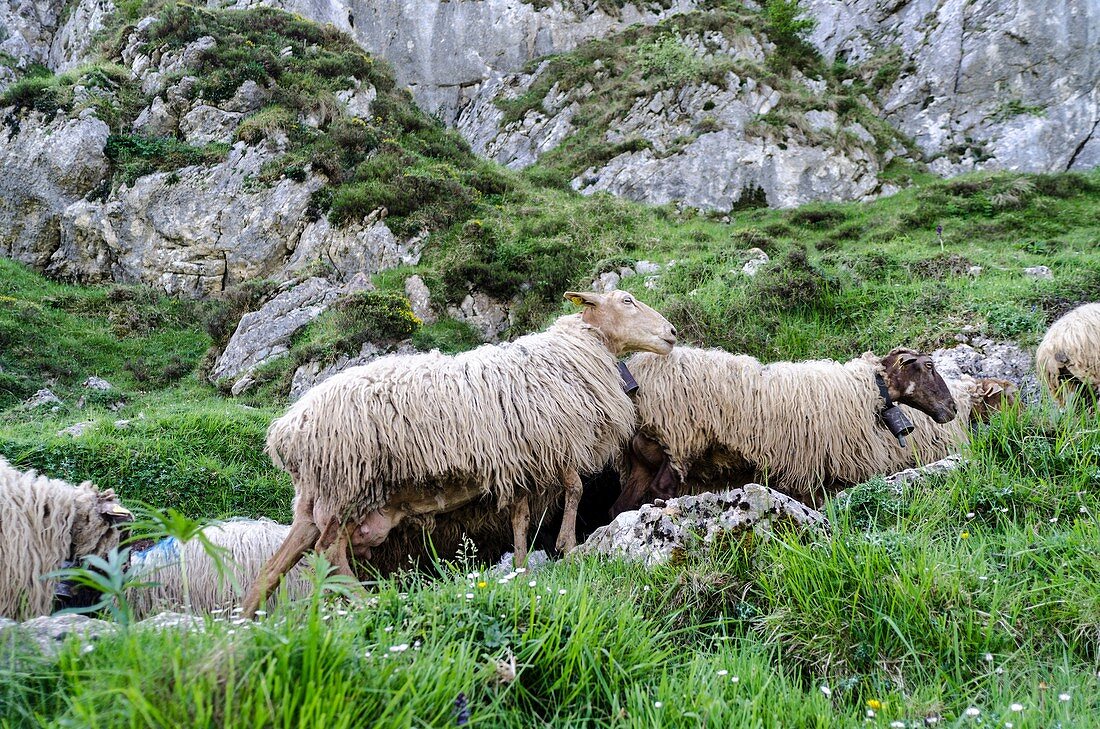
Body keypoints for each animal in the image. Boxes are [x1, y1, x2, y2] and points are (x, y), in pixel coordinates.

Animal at [243, 290, 677, 615]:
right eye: (627, 300)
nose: (672, 333)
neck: (573, 351)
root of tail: (286, 431)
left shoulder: (523, 460)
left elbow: (520, 518)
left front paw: (521, 568)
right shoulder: (559, 442)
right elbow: (574, 490)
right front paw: (567, 547)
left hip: (317, 499)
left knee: (273, 569)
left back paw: (247, 620)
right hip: (346, 484)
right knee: (328, 554)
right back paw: (370, 601)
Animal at [611, 347, 963, 512]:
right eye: (929, 366)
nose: (953, 408)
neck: (864, 388)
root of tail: (640, 375)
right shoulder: (817, 469)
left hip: (641, 460)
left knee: (621, 505)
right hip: (677, 441)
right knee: (662, 489)